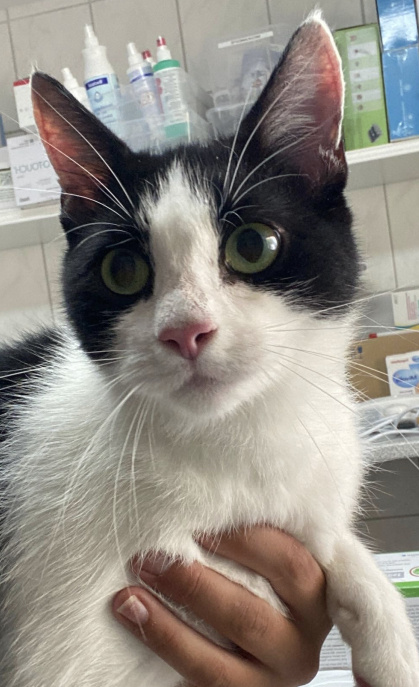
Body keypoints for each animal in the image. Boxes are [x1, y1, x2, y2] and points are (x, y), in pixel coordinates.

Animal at [0, 10, 418, 687]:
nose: (185, 331)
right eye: (122, 269)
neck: (231, 446)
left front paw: (388, 634)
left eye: (253, 245)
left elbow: (329, 540)